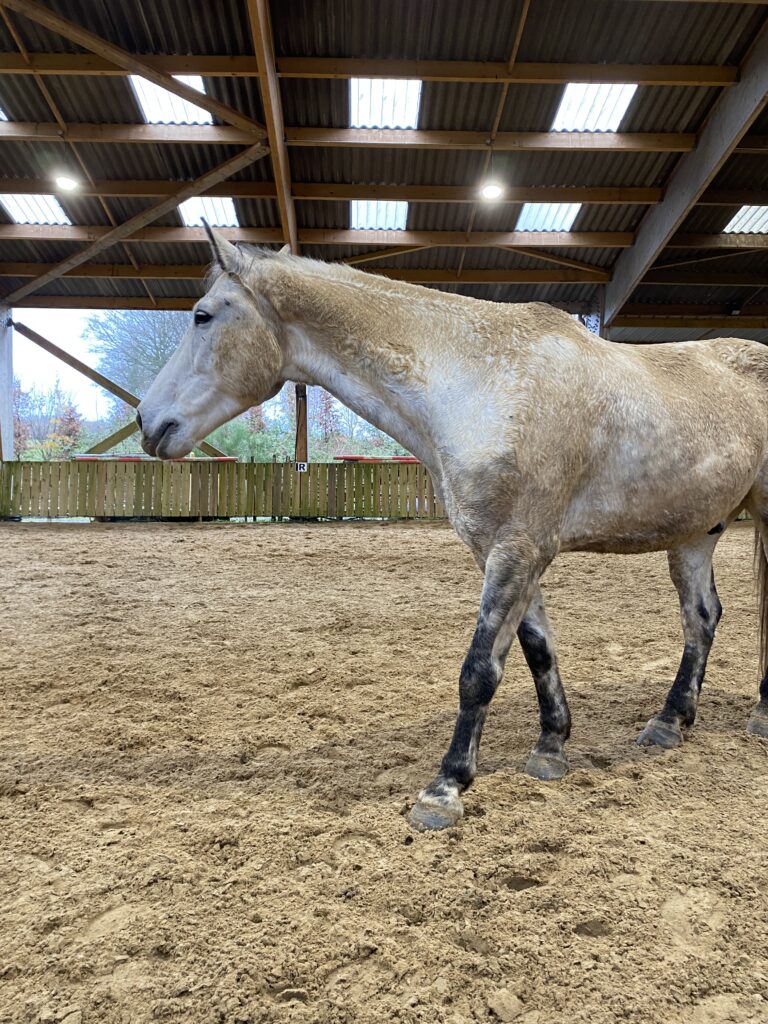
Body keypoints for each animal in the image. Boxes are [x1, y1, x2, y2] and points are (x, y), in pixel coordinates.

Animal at [137, 226, 768, 831]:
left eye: (202, 315)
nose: (147, 421)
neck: (481, 381)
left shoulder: (518, 550)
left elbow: (479, 670)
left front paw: (445, 788)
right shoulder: (500, 551)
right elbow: (537, 651)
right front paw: (550, 747)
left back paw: (758, 714)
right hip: (696, 533)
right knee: (701, 617)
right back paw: (669, 722)